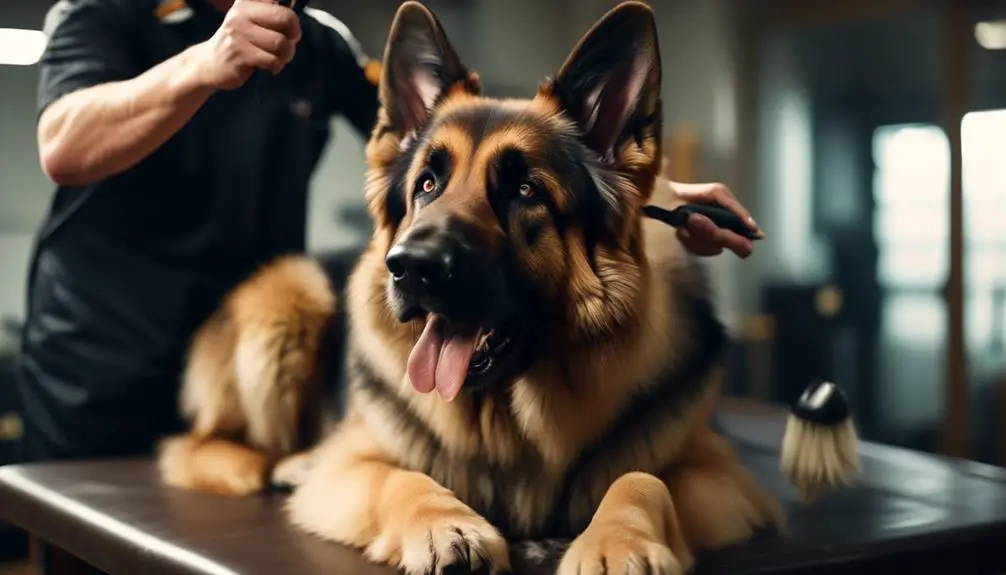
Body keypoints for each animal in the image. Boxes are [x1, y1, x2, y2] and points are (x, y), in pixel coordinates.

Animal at [160, 2, 788, 570]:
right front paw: (444, 524)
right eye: (427, 184)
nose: (409, 266)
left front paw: (617, 543)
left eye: (526, 191)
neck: (510, 416)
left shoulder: (719, 473)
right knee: (195, 447)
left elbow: (640, 477)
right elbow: (403, 475)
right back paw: (284, 463)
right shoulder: (354, 462)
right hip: (291, 291)